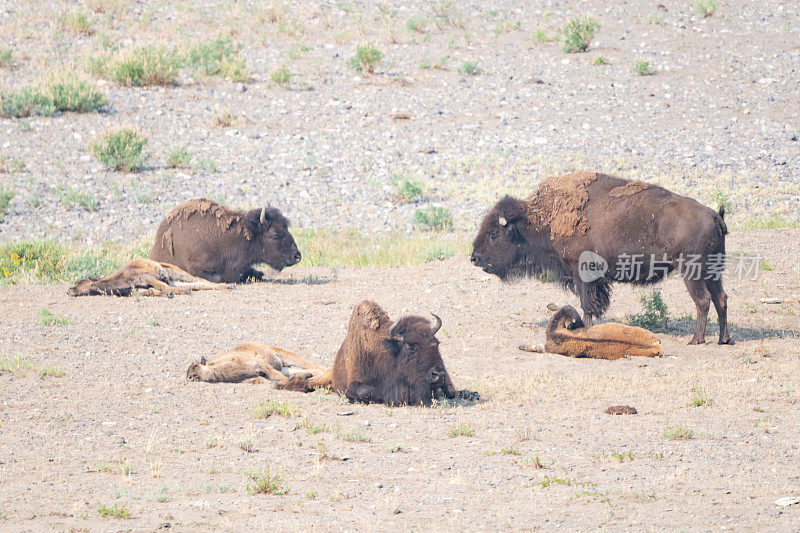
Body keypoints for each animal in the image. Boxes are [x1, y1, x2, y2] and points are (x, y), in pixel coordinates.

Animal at [186, 342, 326, 384]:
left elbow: (275, 376)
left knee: (308, 364)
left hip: (283, 355)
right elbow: (262, 380)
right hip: (284, 367)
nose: (190, 377)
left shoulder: (260, 364)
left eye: (195, 365)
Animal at [472, 171, 736, 344]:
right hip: (712, 271)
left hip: (692, 272)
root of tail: (713, 214)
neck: (543, 219)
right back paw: (723, 339)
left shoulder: (582, 274)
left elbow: (587, 305)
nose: (474, 257)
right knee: (720, 298)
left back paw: (696, 340)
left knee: (703, 300)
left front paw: (587, 331)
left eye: (493, 233)